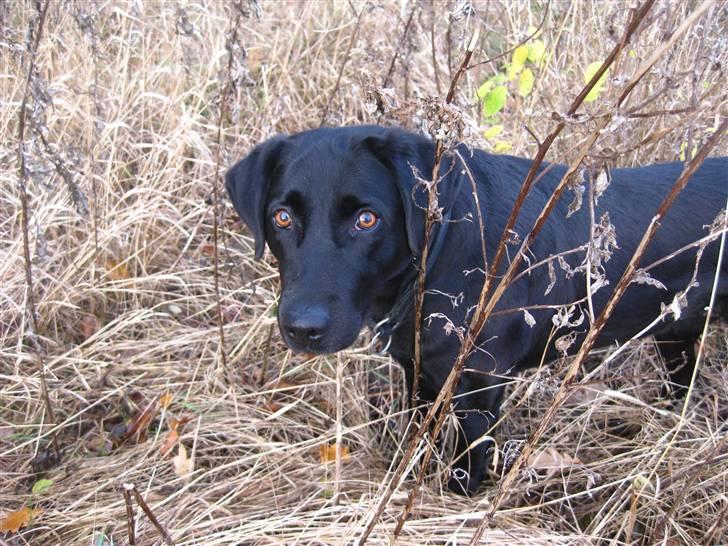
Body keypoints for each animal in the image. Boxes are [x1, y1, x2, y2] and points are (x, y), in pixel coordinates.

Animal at [225, 124, 724, 492]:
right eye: (282, 217)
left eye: (367, 219)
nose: (302, 328)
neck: (438, 256)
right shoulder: (421, 371)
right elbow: (419, 439)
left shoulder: (480, 385)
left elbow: (466, 463)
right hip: (677, 332)